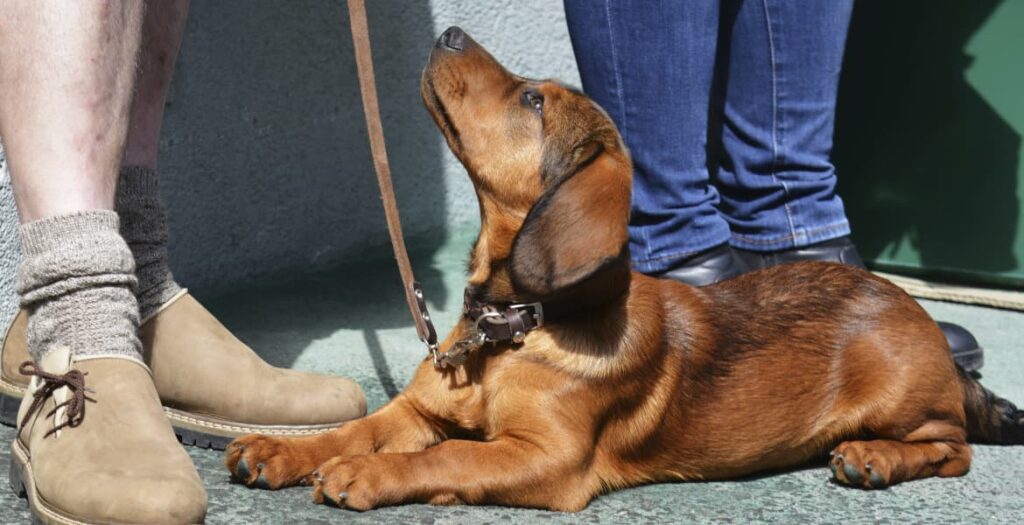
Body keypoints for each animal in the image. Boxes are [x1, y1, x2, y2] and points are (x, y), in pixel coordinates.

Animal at [226, 26, 1024, 509]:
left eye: (531, 99)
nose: (448, 30)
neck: (512, 329)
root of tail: (919, 315)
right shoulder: (416, 410)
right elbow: (354, 428)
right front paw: (284, 447)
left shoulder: (547, 459)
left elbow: (444, 460)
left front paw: (373, 473)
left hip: (903, 404)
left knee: (953, 448)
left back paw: (874, 458)